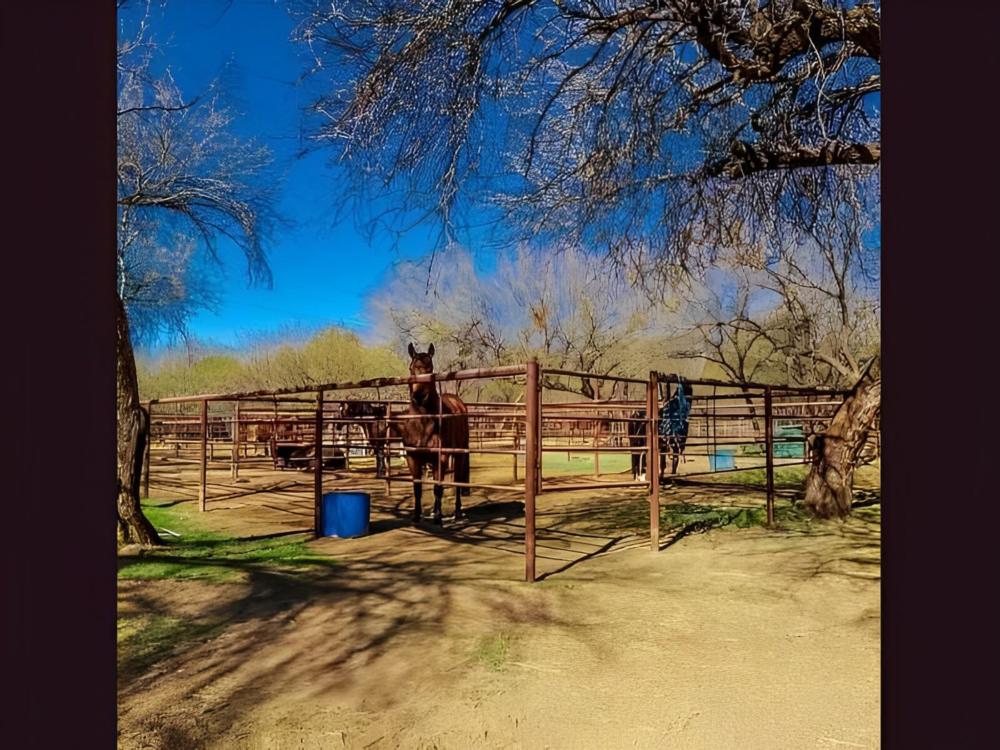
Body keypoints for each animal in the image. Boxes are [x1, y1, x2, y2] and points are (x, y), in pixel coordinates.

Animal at [401, 343, 471, 525]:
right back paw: (433, 510)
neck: (423, 424)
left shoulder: (441, 457)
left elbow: (438, 487)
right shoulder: (413, 457)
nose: (419, 396)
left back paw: (457, 511)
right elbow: (417, 487)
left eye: (430, 368)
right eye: (411, 368)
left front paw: (438, 518)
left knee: (458, 481)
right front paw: (417, 516)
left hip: (459, 454)